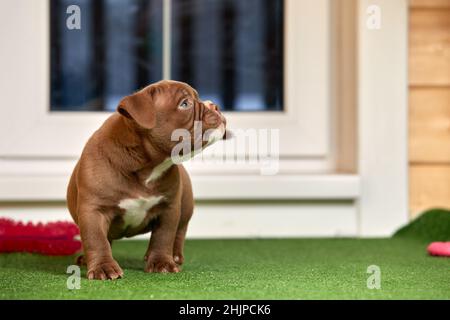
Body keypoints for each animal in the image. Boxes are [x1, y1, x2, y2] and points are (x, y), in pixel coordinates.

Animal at [67, 80, 227, 280]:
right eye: (185, 104)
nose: (215, 105)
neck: (148, 166)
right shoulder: (93, 210)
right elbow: (96, 239)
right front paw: (103, 267)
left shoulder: (169, 208)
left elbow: (163, 237)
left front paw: (162, 263)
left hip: (186, 206)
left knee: (180, 231)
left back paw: (175, 256)